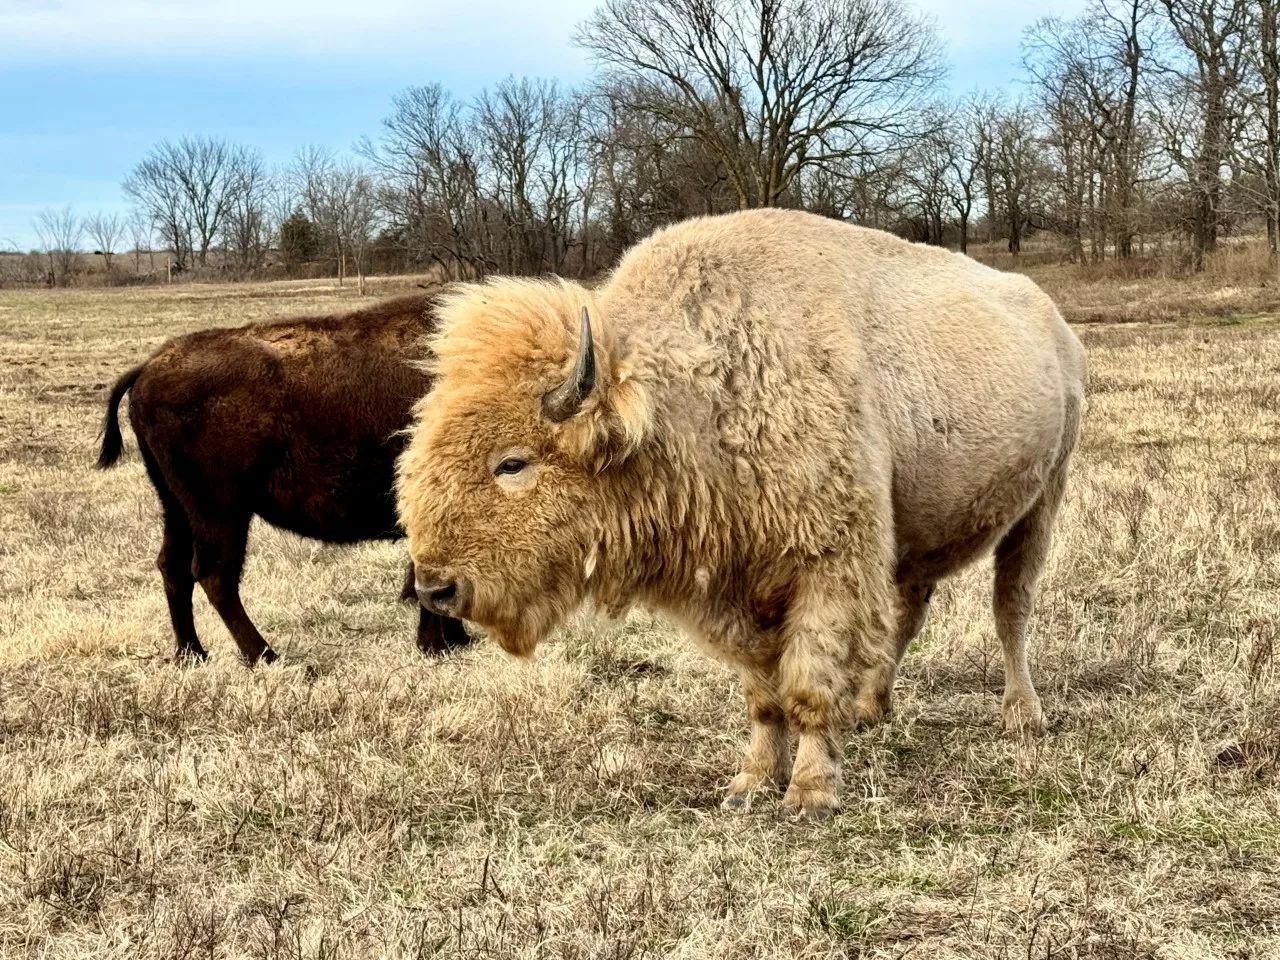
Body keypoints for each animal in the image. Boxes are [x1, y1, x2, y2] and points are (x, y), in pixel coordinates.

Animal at [97, 293, 471, 665]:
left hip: (176, 506)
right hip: (221, 512)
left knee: (173, 567)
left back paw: (192, 653)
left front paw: (453, 640)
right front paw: (437, 645)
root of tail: (149, 367)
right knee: (213, 574)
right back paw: (264, 655)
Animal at [394, 209, 1085, 819]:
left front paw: (810, 793)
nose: (435, 587)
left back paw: (1022, 714)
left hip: (1041, 506)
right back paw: (871, 706)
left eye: (512, 462)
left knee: (1010, 609)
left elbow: (807, 685)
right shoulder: (733, 591)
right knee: (909, 612)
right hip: (917, 538)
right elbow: (763, 695)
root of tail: (1056, 324)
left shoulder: (827, 566)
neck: (701, 400)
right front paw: (750, 783)